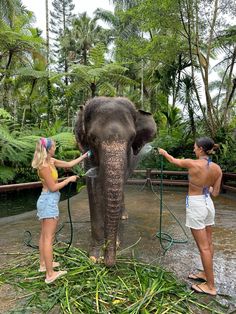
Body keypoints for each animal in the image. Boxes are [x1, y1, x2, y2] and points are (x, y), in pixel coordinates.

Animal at [75, 97, 157, 266]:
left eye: (131, 138)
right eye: (93, 138)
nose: (110, 263)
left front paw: (116, 244)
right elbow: (94, 187)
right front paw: (95, 257)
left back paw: (123, 216)